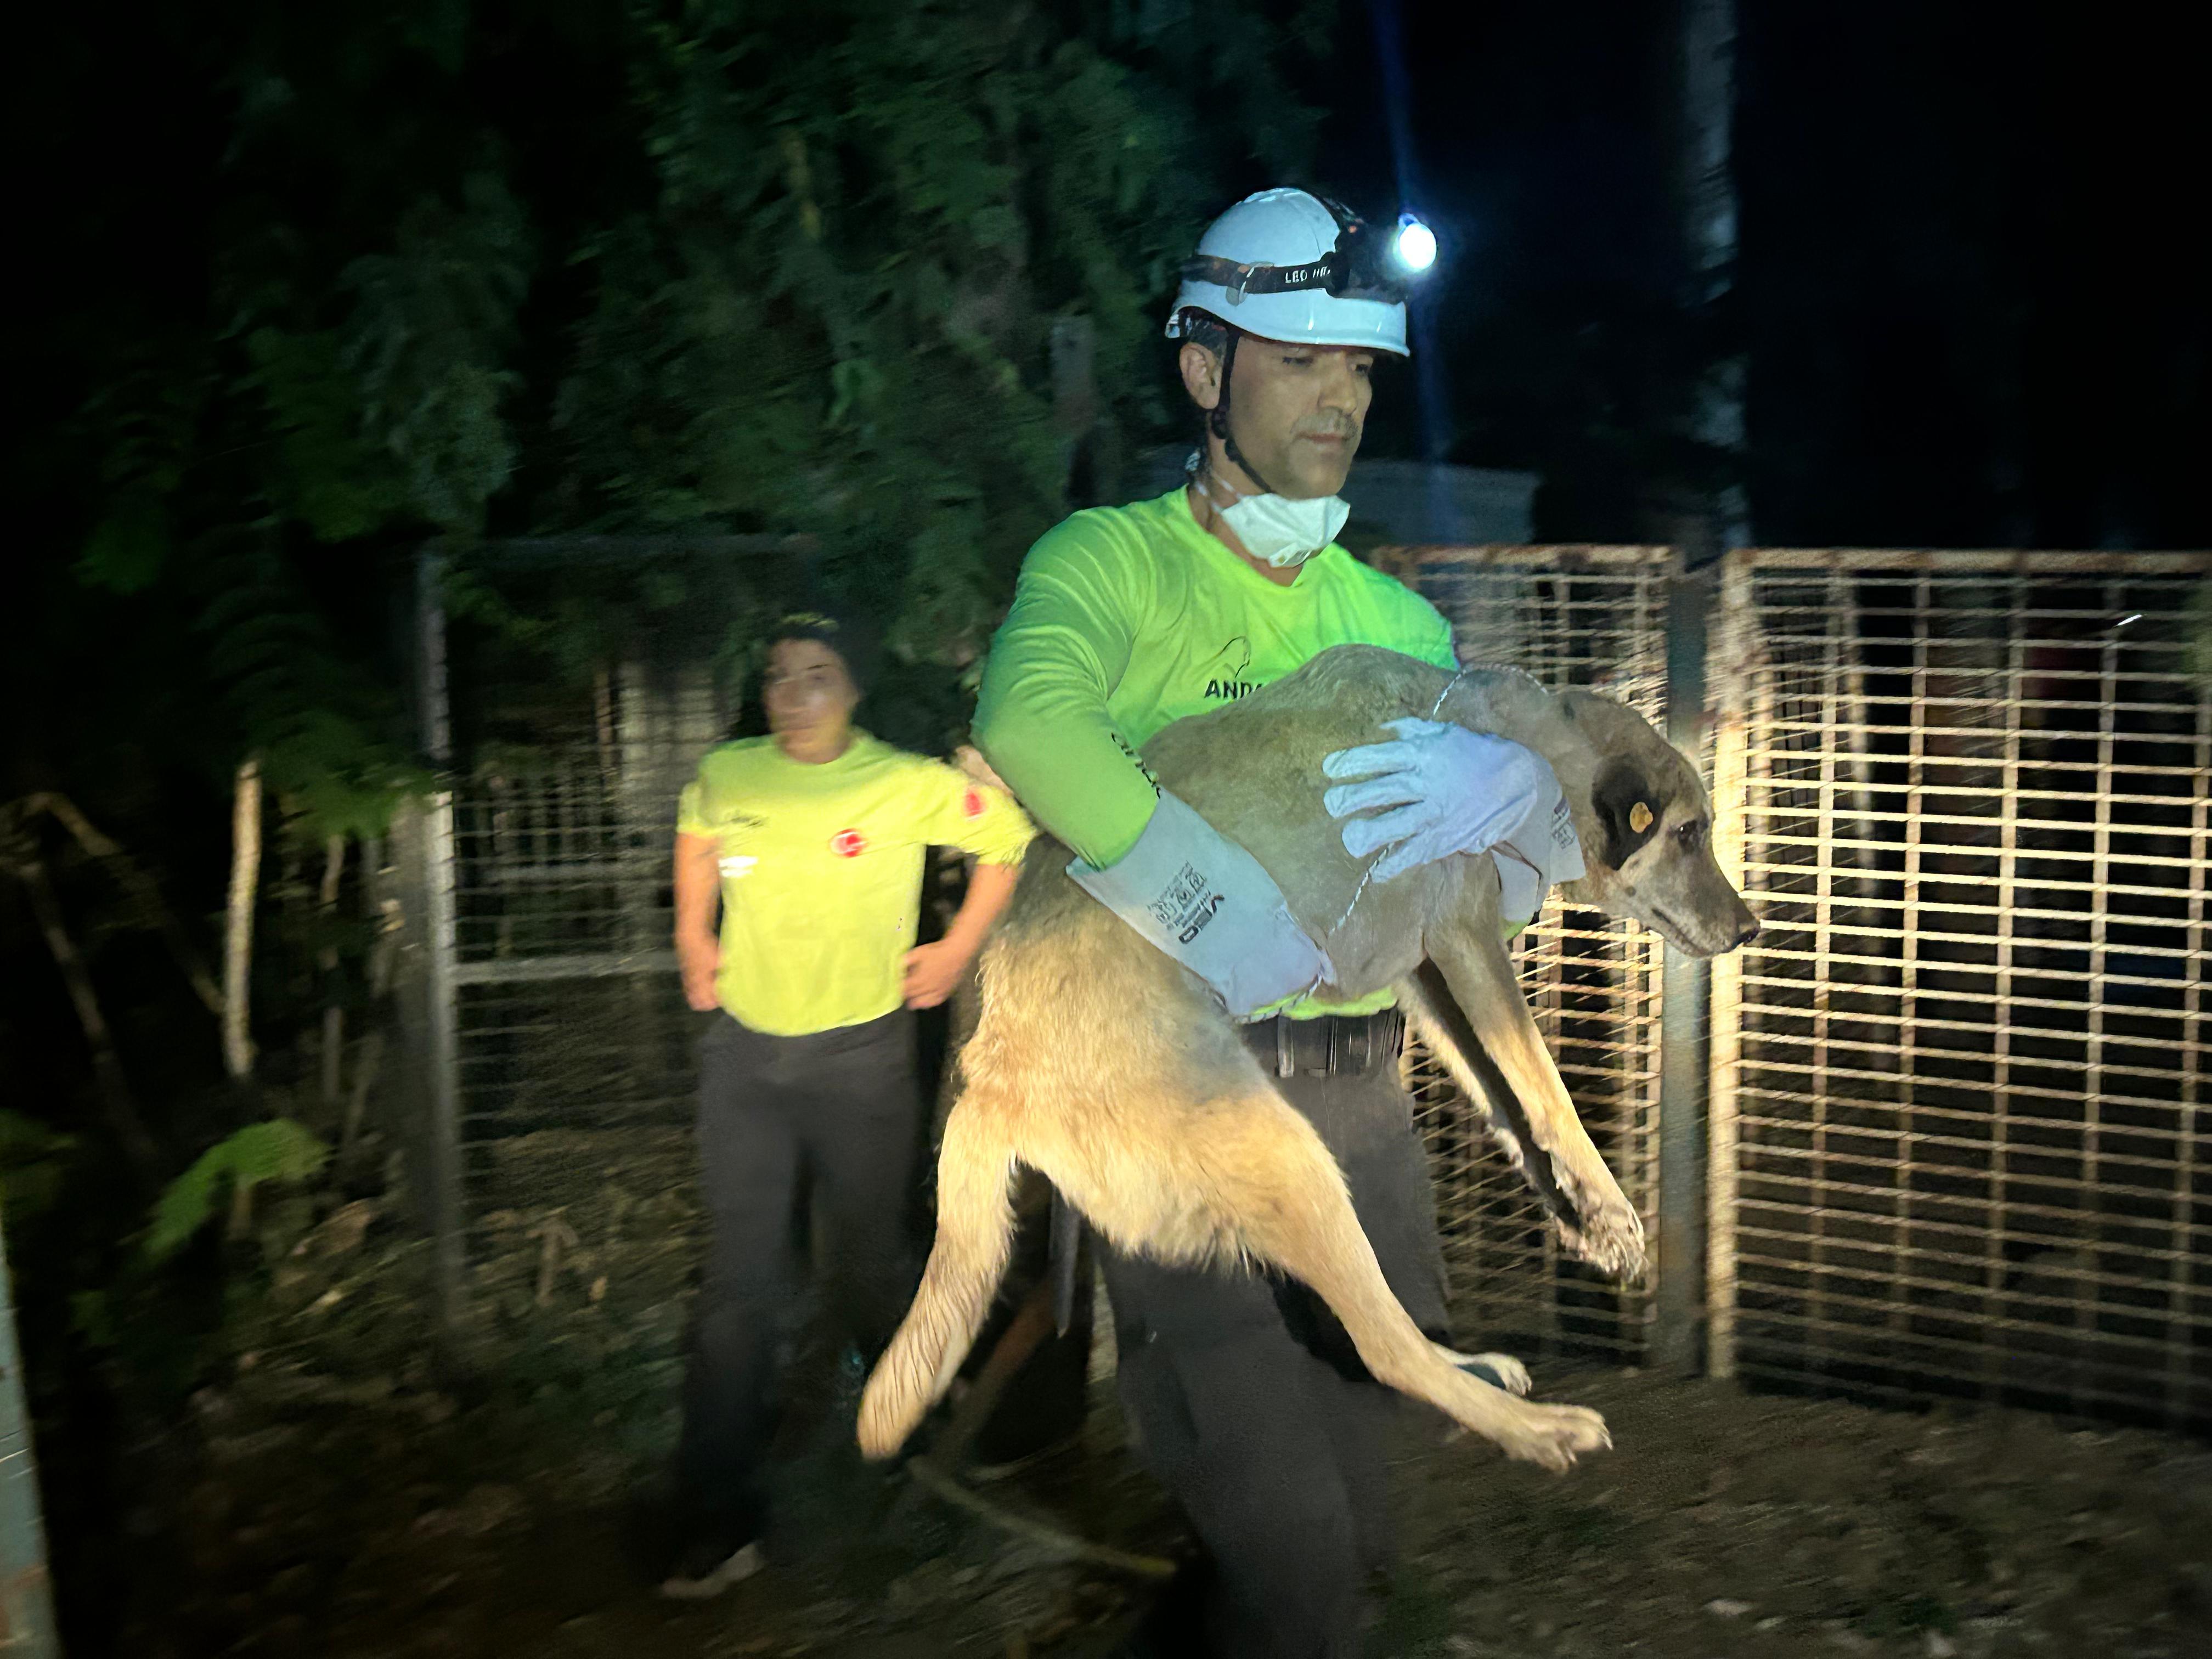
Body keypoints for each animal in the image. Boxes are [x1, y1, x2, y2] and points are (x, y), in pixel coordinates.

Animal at [854, 641, 1752, 1477]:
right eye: (1689, 833)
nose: (1751, 930)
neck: (1521, 737)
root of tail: (992, 1078)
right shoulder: (1467, 941)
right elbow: (1546, 1089)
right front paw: (1613, 1208)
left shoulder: (1427, 979)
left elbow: (1506, 1102)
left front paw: (1584, 1218)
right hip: (1294, 1162)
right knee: (1385, 1348)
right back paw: (1535, 1430)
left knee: (1383, 1336)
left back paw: (1480, 1371)